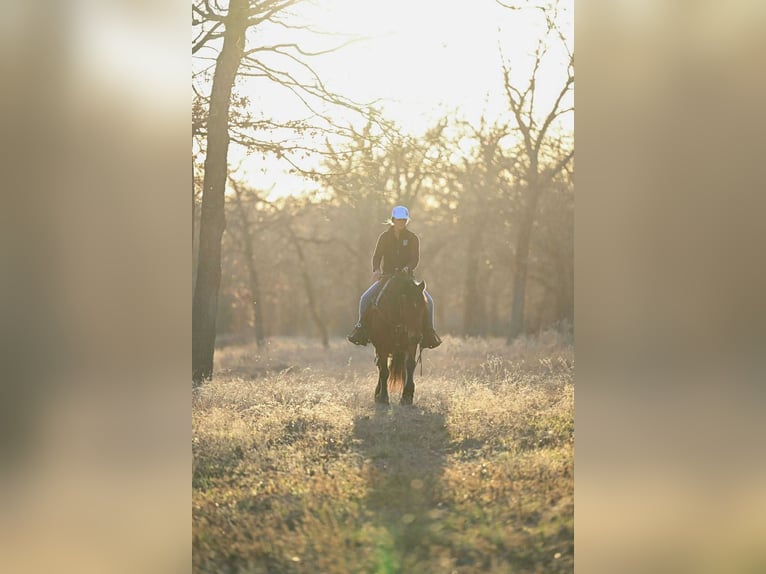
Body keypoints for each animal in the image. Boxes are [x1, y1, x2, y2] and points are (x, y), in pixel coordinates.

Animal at [362, 270, 427, 405]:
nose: (416, 337)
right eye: (406, 306)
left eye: (423, 307)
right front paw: (383, 398)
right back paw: (378, 394)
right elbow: (384, 371)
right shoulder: (382, 345)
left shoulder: (410, 344)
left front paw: (407, 396)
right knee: (380, 366)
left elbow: (410, 365)